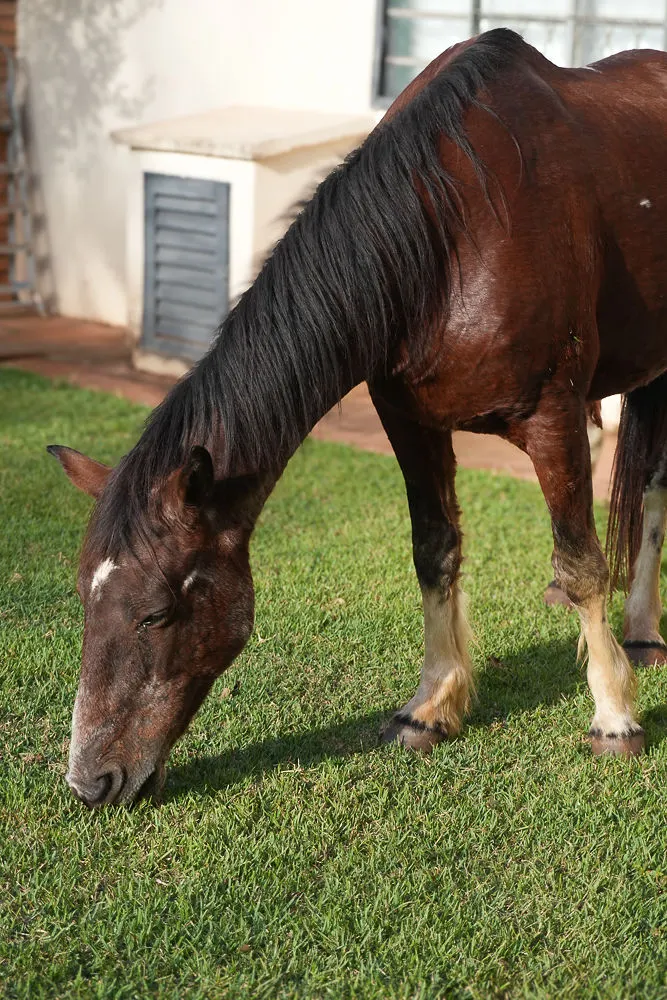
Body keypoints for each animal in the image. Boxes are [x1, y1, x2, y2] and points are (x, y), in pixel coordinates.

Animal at [49, 28, 667, 808]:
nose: (90, 782)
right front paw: (430, 706)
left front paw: (614, 717)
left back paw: (640, 633)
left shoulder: (552, 416)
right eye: (81, 597)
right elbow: (435, 552)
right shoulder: (408, 420)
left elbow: (584, 561)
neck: (452, 233)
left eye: (155, 613)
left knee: (649, 492)